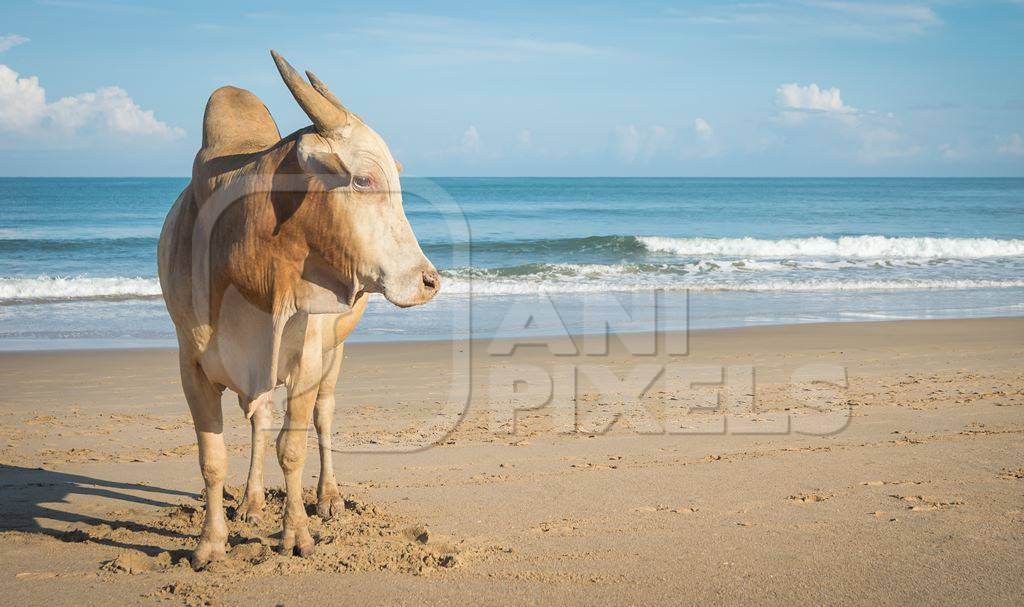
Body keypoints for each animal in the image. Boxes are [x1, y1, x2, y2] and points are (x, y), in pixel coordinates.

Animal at [156, 50, 440, 569]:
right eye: (364, 179)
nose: (428, 280)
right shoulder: (192, 365)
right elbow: (212, 458)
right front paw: (210, 543)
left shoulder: (306, 359)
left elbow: (292, 447)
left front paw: (297, 536)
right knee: (260, 420)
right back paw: (251, 501)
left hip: (335, 353)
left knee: (323, 418)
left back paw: (327, 498)